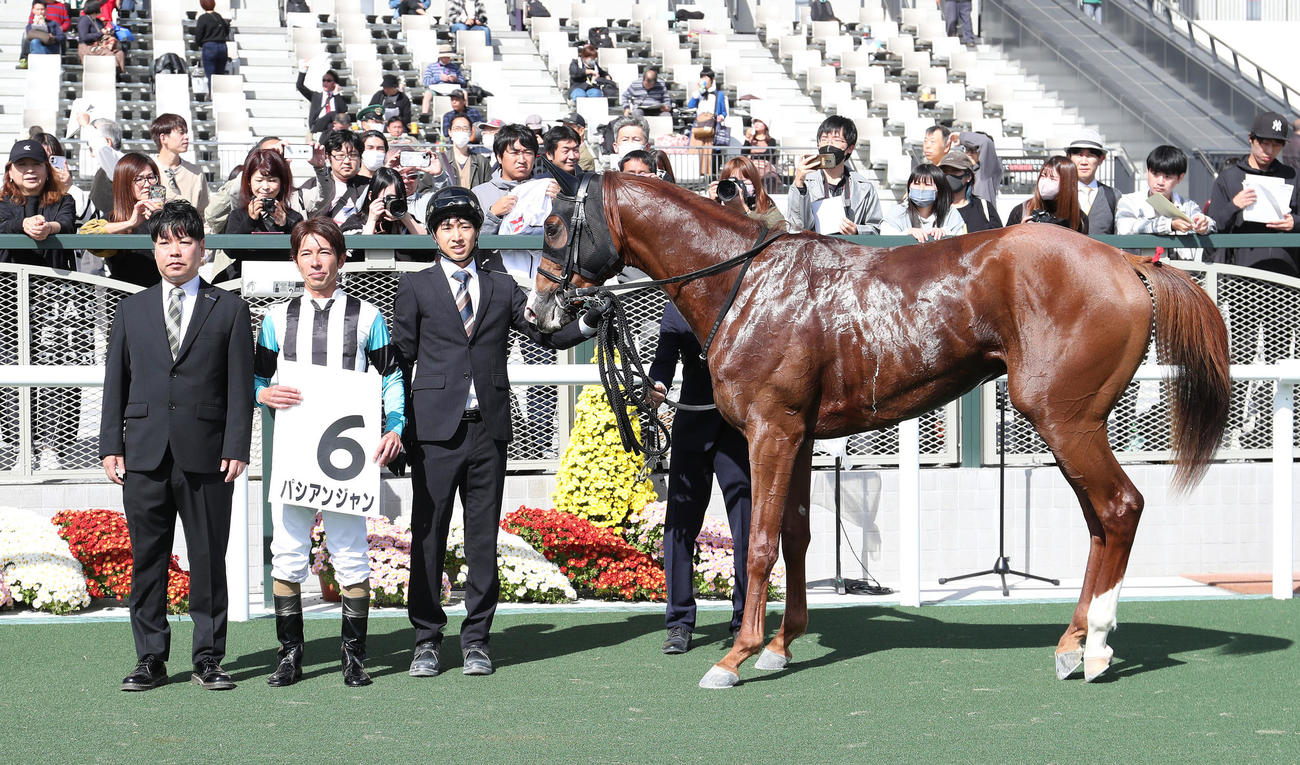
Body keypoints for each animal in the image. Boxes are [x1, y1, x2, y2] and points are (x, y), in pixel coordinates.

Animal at [527, 173, 1231, 688]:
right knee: (1099, 524)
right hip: (1073, 425)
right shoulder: (798, 436)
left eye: (556, 226)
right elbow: (798, 537)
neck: (746, 282)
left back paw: (1097, 649)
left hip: (1065, 419)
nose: (538, 314)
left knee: (1120, 508)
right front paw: (782, 645)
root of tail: (1127, 263)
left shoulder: (770, 432)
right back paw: (1073, 641)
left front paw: (737, 655)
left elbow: (759, 545)